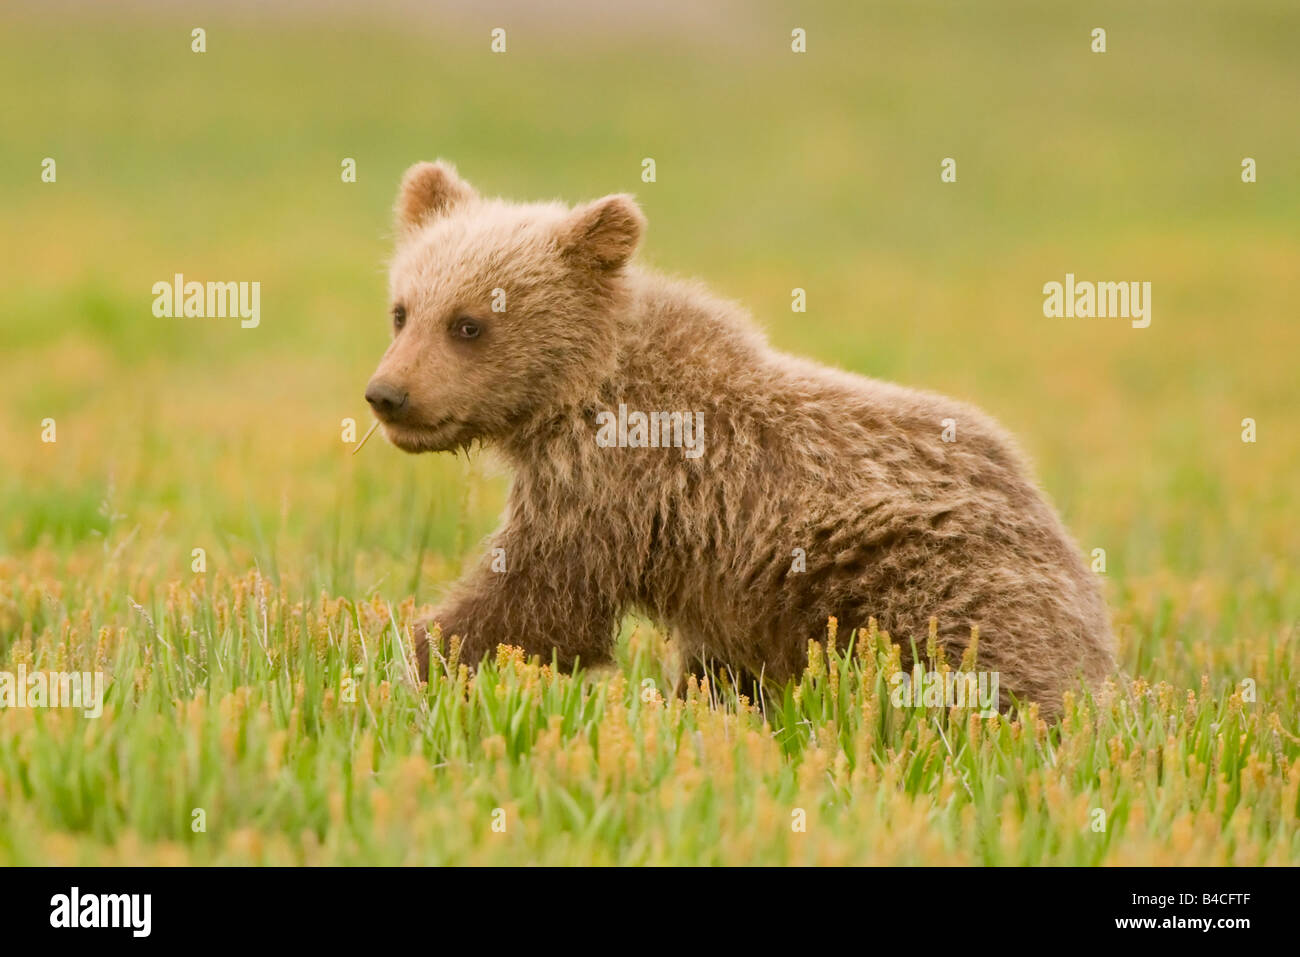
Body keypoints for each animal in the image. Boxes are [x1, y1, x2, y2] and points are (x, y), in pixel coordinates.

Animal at [369, 160, 1118, 717]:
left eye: (468, 324)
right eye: (402, 310)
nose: (387, 395)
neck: (579, 394)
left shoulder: (618, 486)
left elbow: (539, 603)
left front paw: (411, 659)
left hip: (929, 577)